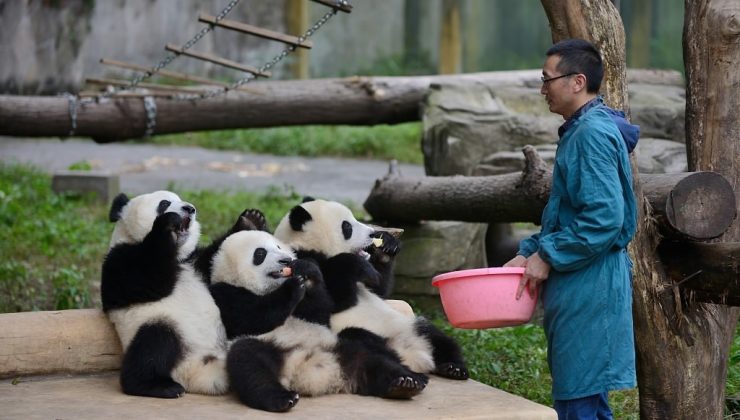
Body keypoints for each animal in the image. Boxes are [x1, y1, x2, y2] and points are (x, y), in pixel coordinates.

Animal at [101, 192, 227, 398]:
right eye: (164, 203)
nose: (189, 209)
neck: (177, 256)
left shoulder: (195, 262)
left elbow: (215, 258)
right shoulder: (119, 261)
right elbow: (149, 276)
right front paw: (168, 222)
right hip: (163, 326)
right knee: (154, 344)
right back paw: (159, 386)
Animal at [274, 198, 472, 380]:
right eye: (347, 227)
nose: (372, 234)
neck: (310, 246)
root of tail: (415, 356)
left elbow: (379, 289)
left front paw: (386, 247)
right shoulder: (300, 262)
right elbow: (328, 305)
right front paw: (357, 265)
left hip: (408, 325)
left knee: (436, 337)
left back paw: (453, 367)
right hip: (352, 335)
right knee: (363, 343)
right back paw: (404, 376)